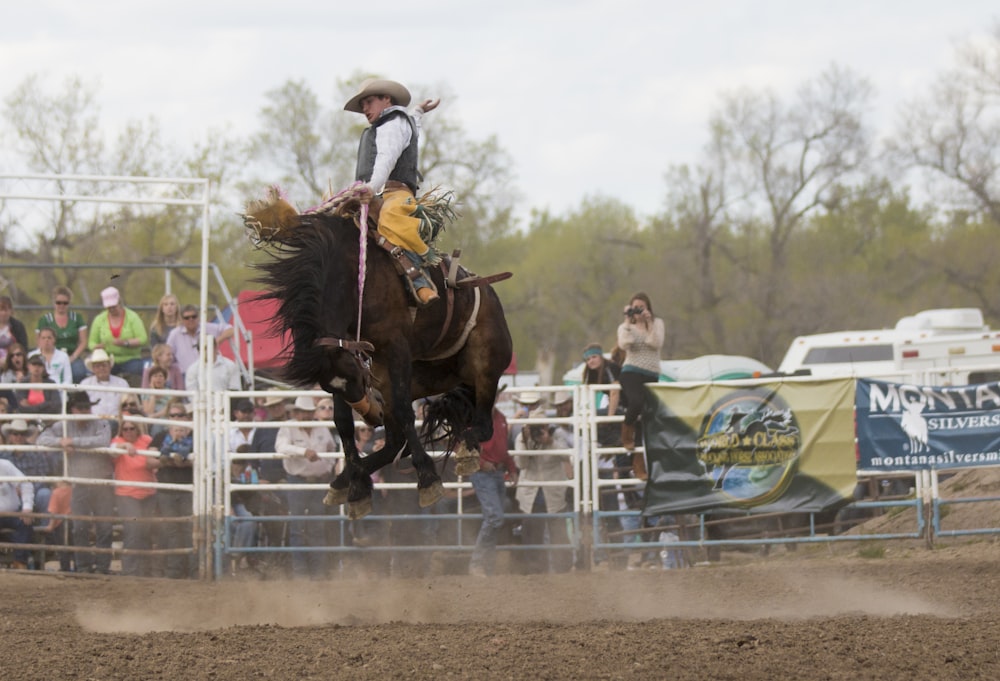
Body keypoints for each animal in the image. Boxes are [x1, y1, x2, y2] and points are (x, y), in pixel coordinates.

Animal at [240, 183, 508, 516]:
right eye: (333, 385)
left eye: (355, 377)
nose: (371, 416)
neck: (355, 280)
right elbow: (342, 423)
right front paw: (355, 487)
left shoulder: (396, 348)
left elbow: (406, 413)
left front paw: (428, 479)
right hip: (411, 380)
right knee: (395, 442)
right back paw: (345, 480)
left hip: (484, 366)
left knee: (482, 426)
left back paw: (466, 449)